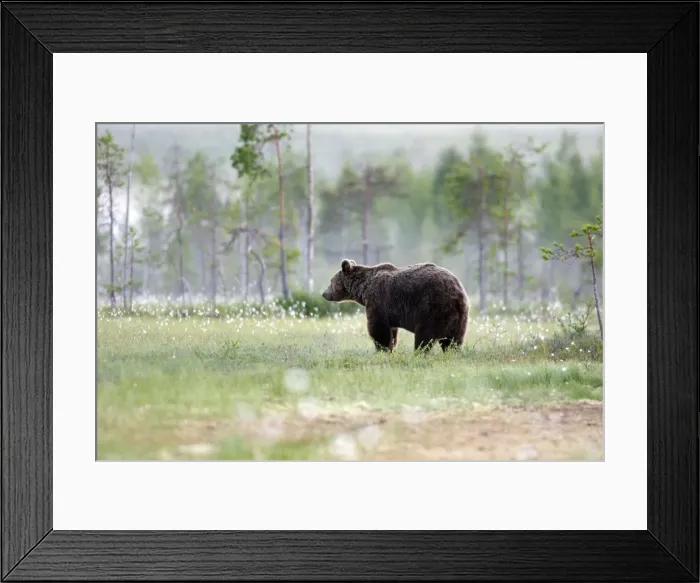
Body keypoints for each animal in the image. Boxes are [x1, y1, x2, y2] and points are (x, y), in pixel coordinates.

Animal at [321, 258, 470, 353]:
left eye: (331, 281)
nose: (324, 293)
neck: (363, 288)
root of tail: (457, 293)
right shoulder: (391, 312)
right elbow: (392, 331)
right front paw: (390, 347)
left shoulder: (378, 301)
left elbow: (378, 329)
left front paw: (382, 349)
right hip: (459, 316)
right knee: (454, 338)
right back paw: (451, 351)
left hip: (431, 307)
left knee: (425, 335)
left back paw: (418, 352)